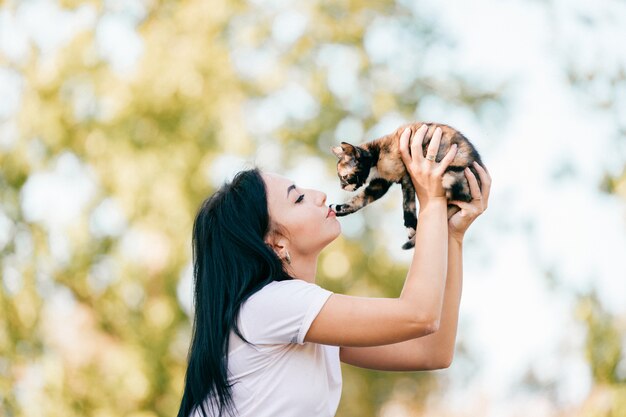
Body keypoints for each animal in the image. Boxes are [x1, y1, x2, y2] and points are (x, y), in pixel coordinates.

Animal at [332, 122, 482, 249]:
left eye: (344, 177)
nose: (341, 186)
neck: (376, 156)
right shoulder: (380, 184)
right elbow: (361, 199)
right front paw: (339, 208)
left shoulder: (406, 175)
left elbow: (407, 203)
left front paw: (410, 226)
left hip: (451, 175)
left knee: (462, 195)